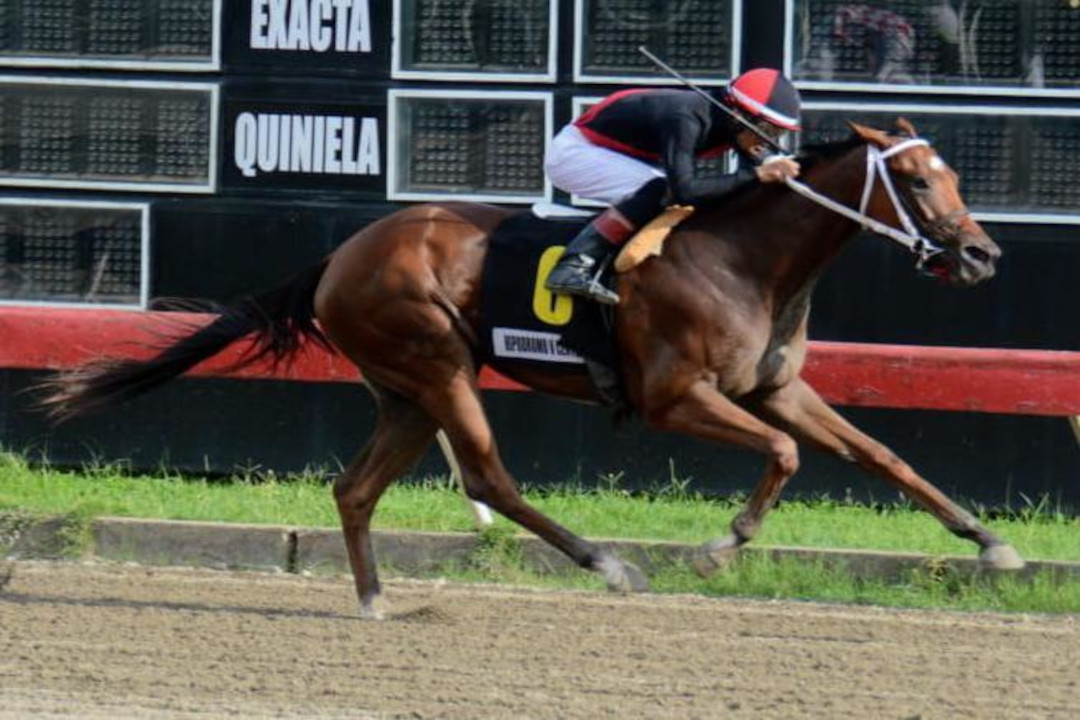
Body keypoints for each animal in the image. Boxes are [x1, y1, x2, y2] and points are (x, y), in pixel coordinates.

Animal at [40, 119, 1021, 619]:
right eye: (919, 182)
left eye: (954, 174)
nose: (981, 254)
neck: (744, 257)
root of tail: (341, 254)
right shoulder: (675, 396)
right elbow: (783, 456)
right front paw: (719, 548)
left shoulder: (776, 387)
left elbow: (881, 455)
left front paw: (989, 542)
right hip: (437, 366)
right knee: (489, 477)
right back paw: (609, 565)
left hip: (405, 393)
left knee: (356, 489)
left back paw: (376, 600)